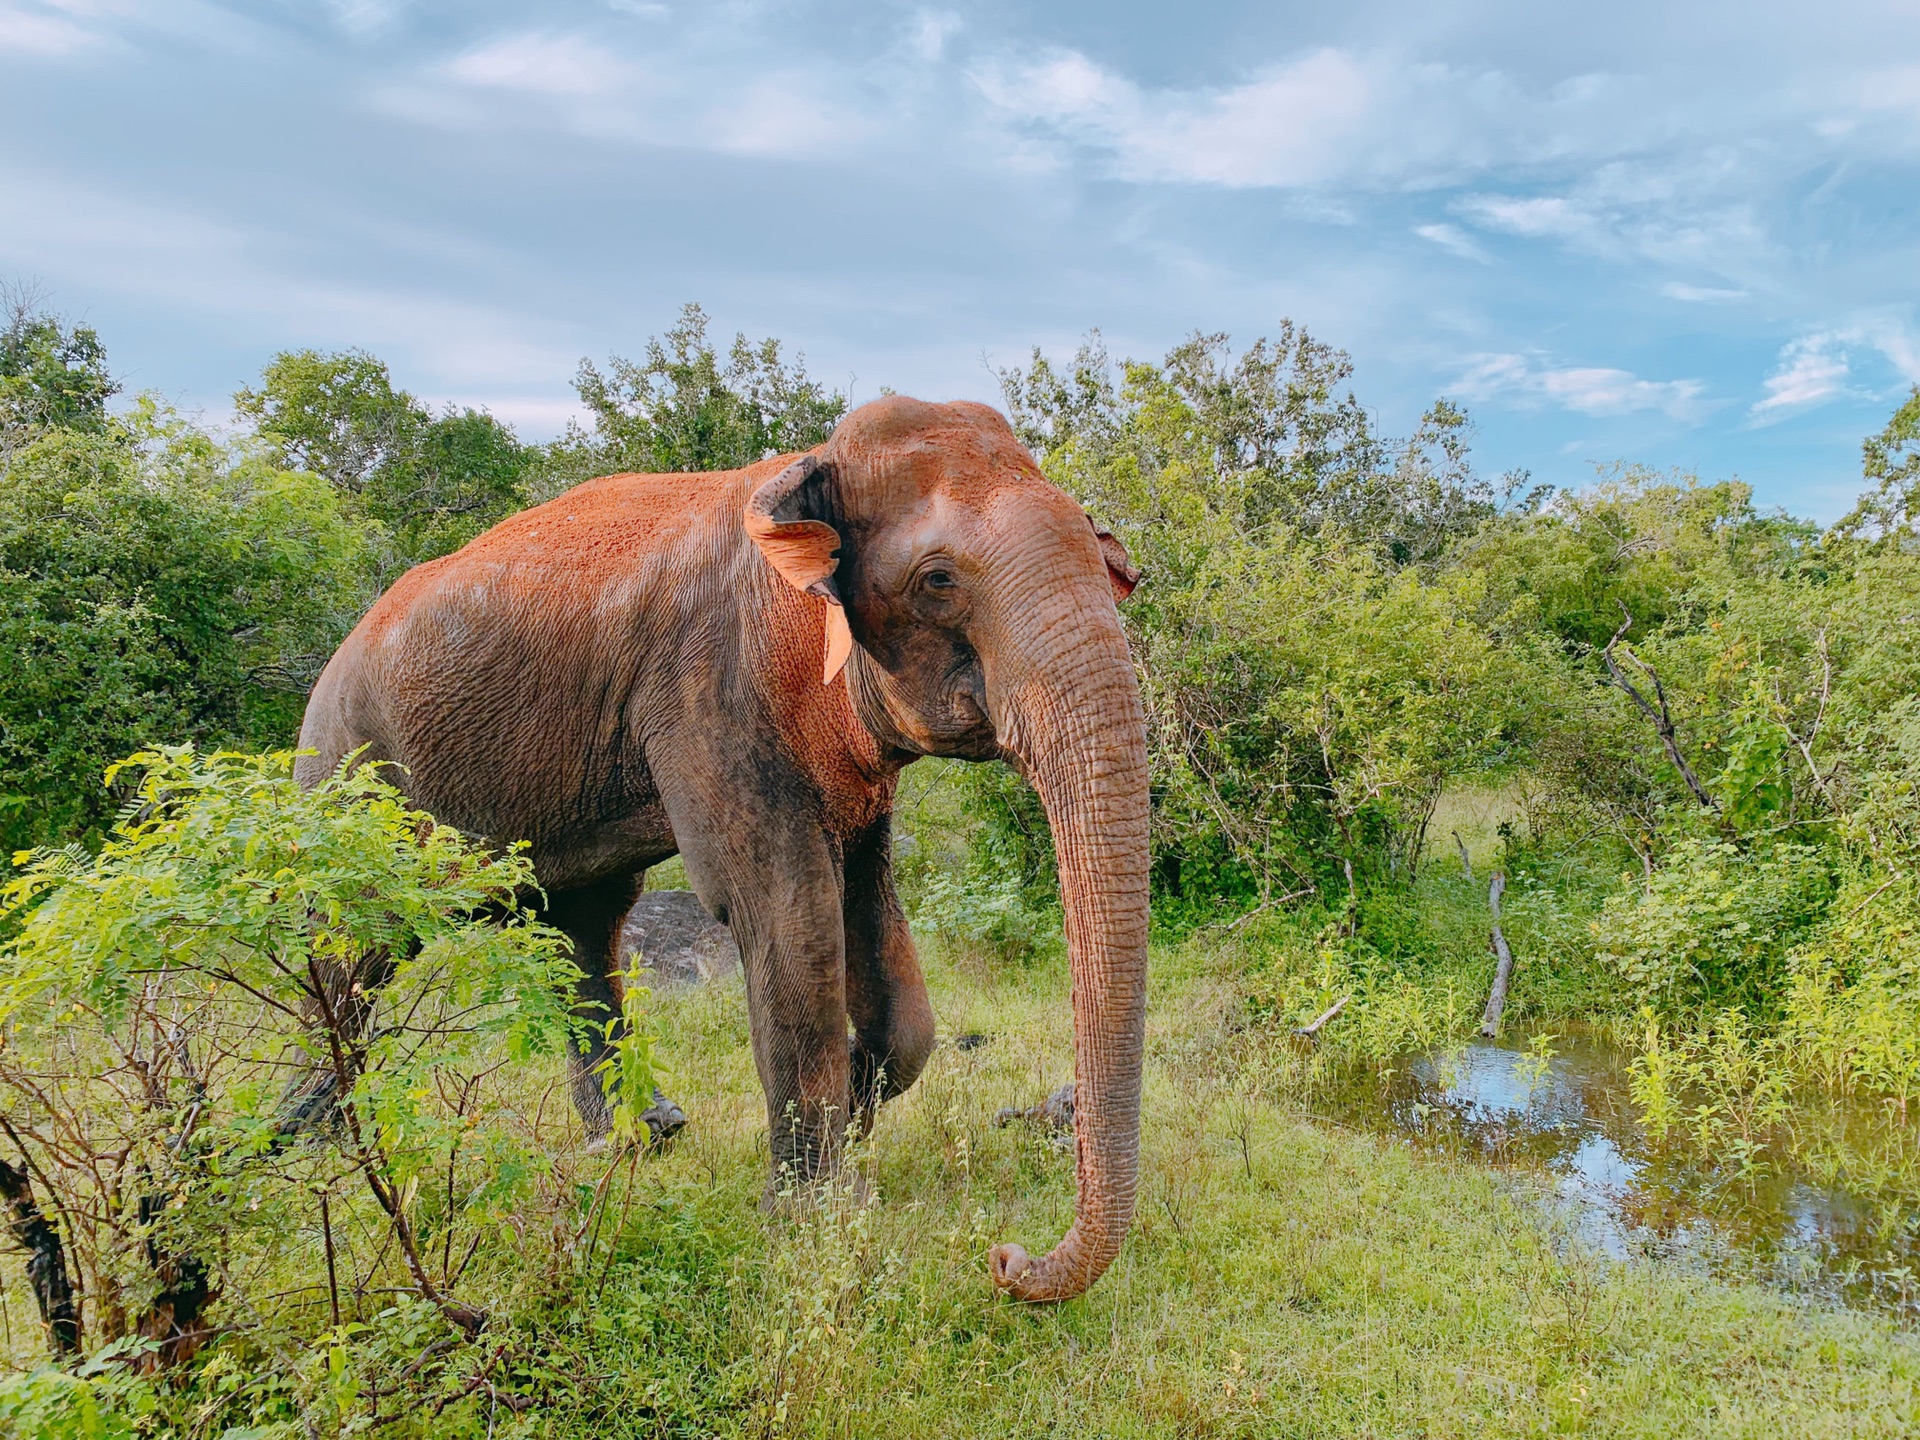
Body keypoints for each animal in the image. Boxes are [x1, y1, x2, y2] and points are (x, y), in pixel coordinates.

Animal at [291, 397, 1144, 1305]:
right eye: (938, 581)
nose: (1005, 1260)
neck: (802, 474)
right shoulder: (709, 691)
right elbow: (788, 913)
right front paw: (816, 1219)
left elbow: (877, 928)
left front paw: (852, 1115)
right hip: (350, 773)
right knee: (358, 944)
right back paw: (315, 1140)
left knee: (580, 923)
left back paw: (646, 1135)